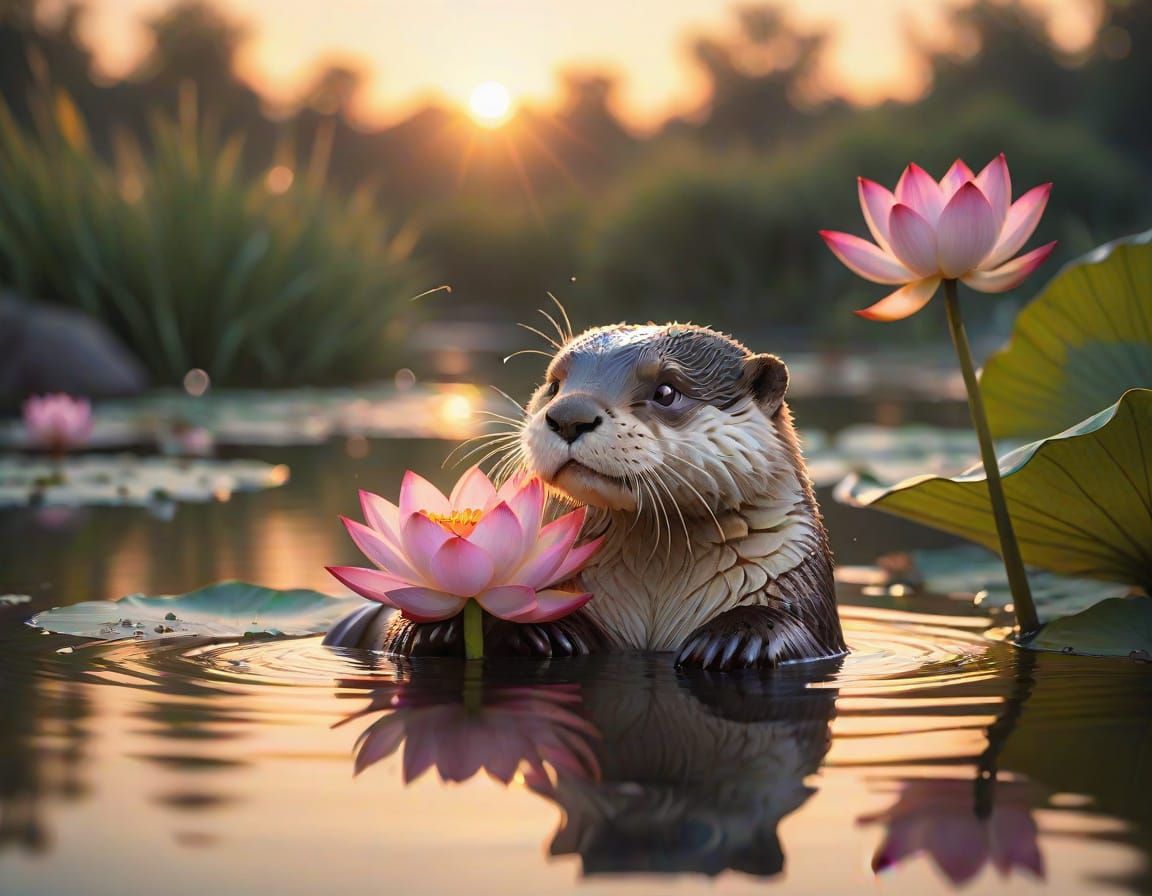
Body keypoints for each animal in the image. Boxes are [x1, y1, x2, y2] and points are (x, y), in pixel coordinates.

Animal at [324, 323, 846, 670]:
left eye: (667, 390)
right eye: (555, 385)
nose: (569, 415)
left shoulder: (798, 580)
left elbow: (798, 630)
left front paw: (736, 639)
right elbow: (401, 633)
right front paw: (533, 629)